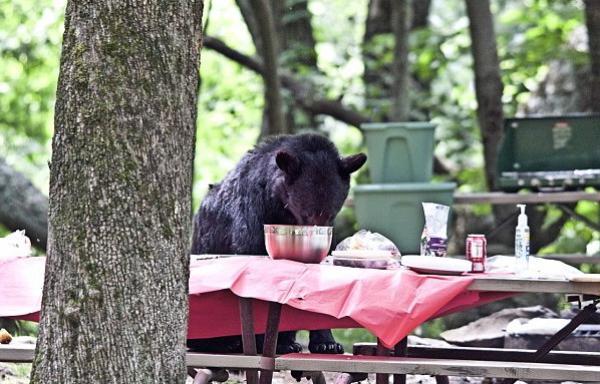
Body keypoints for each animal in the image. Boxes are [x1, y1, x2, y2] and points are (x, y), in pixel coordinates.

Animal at [189, 134, 366, 356]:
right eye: (307, 213)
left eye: (330, 214)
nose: (315, 236)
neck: (280, 207)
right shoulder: (255, 216)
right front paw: (273, 342)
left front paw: (327, 343)